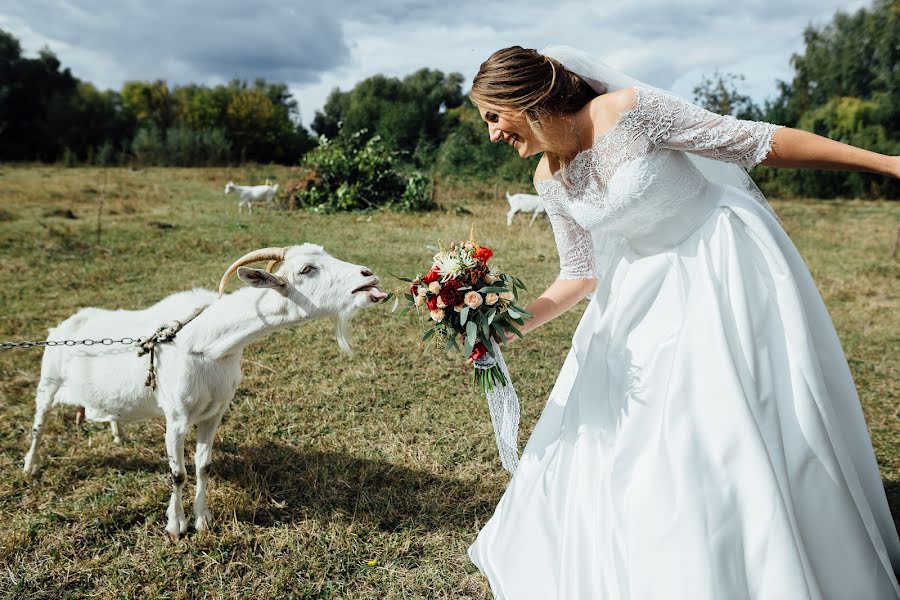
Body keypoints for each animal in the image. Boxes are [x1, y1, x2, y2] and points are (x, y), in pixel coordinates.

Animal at [24, 244, 386, 540]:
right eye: (306, 269)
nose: (369, 275)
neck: (206, 342)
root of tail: (63, 325)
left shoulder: (215, 412)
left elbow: (203, 466)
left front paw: (203, 520)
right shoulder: (176, 417)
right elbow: (178, 473)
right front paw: (176, 526)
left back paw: (118, 435)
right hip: (48, 381)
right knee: (39, 424)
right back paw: (29, 466)